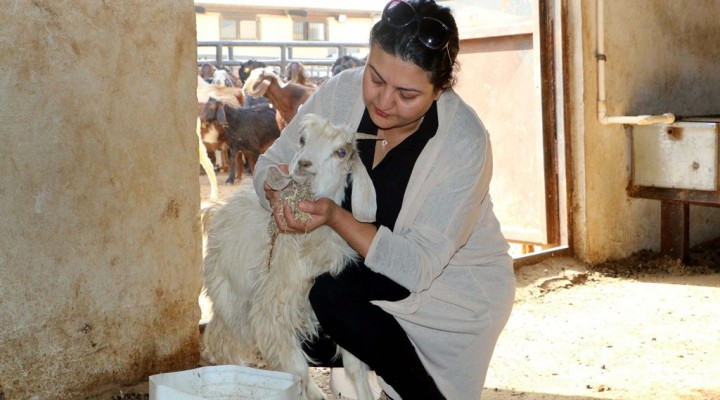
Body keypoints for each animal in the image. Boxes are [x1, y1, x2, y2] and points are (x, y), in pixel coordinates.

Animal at [202, 113, 380, 400]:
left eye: (341, 152)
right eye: (302, 139)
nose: (304, 164)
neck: (309, 245)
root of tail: (217, 209)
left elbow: (354, 366)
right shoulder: (273, 308)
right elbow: (297, 369)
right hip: (232, 296)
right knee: (222, 338)